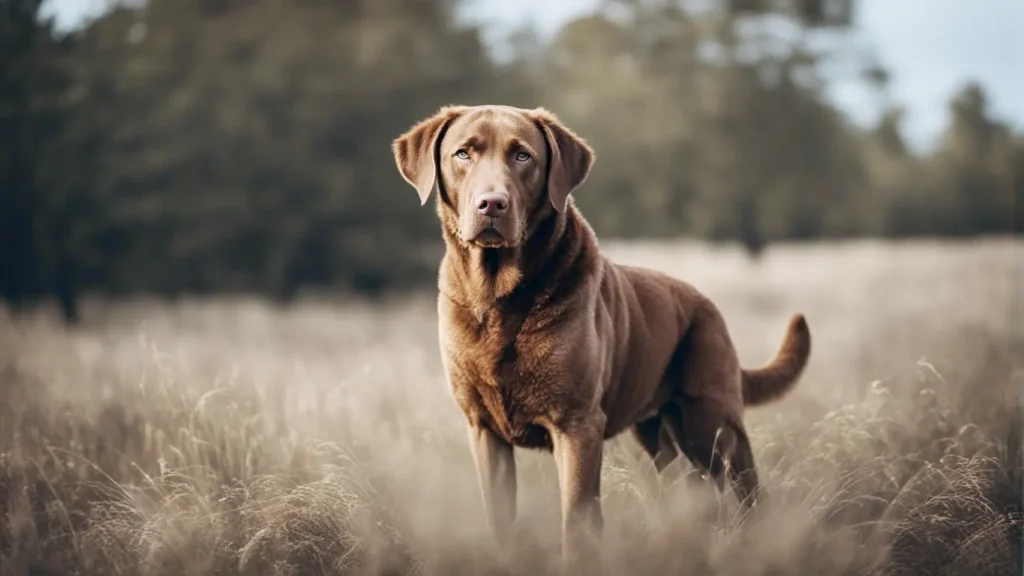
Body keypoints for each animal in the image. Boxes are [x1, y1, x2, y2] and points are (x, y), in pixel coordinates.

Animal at [389, 104, 806, 561]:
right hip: (658, 435)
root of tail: (704, 301)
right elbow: (501, 520)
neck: (498, 296)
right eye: (463, 154)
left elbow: (577, 519)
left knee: (749, 494)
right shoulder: (484, 430)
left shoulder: (577, 426)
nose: (492, 204)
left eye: (523, 156)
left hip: (712, 423)